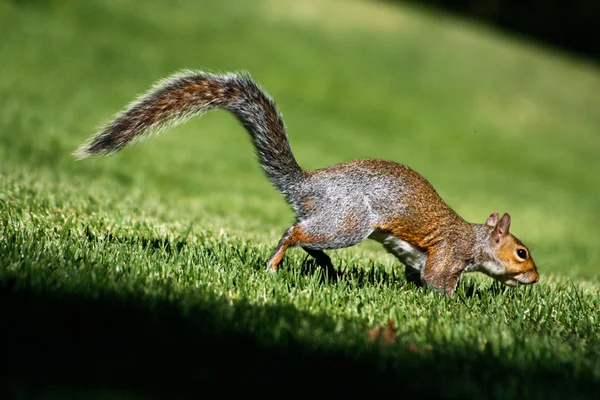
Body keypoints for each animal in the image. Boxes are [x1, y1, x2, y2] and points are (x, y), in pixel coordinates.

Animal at [74, 69, 540, 296]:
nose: (535, 279)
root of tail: (307, 185)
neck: (475, 240)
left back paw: (325, 268)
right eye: (521, 252)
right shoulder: (449, 254)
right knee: (293, 232)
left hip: (334, 223)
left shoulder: (426, 258)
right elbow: (439, 283)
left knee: (306, 235)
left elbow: (420, 274)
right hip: (348, 223)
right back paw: (276, 263)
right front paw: (454, 305)